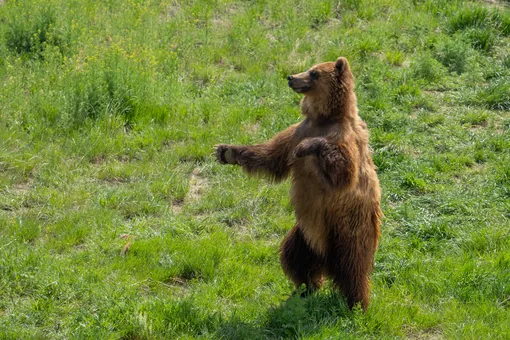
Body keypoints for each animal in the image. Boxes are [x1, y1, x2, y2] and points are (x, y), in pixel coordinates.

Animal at [214, 56, 382, 310]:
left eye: (314, 73)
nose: (291, 77)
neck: (324, 118)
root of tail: (326, 260)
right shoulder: (297, 131)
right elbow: (271, 156)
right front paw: (226, 151)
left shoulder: (345, 137)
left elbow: (344, 173)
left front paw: (309, 147)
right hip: (305, 234)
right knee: (294, 255)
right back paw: (305, 288)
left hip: (348, 227)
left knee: (353, 266)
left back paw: (356, 304)